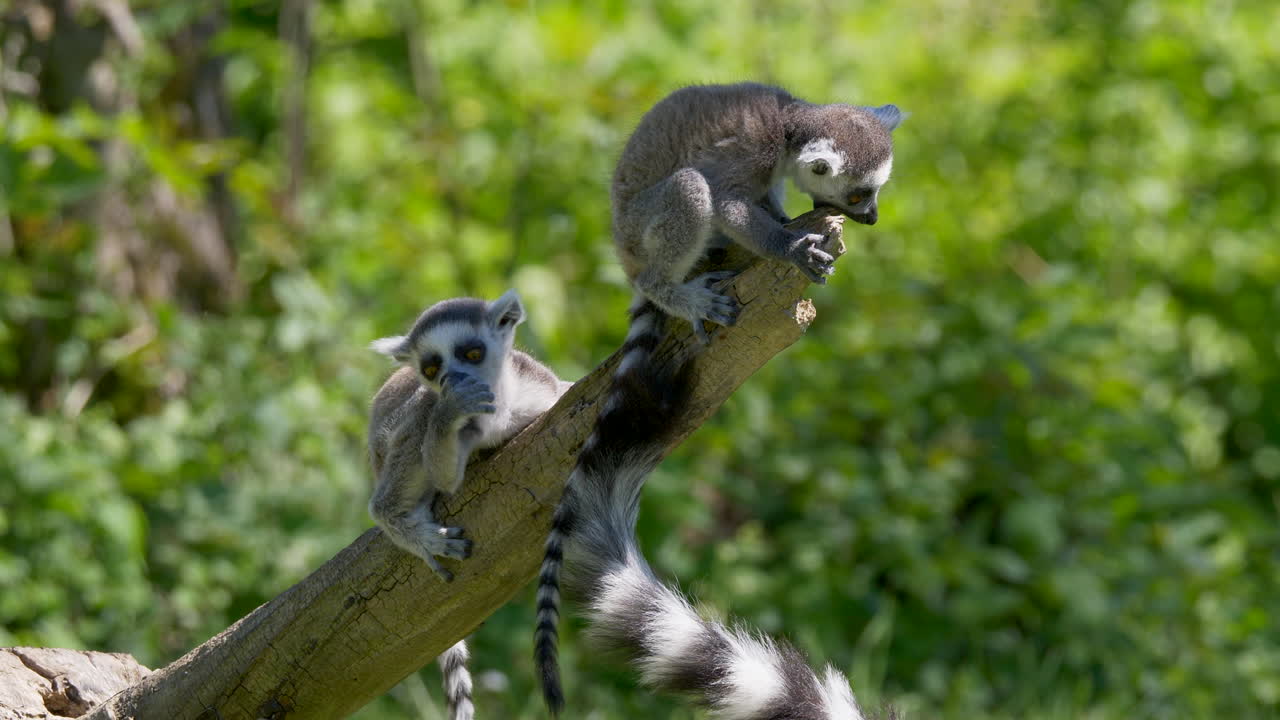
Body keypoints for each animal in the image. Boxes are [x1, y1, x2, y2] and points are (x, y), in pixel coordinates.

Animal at [368, 289, 571, 720]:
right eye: (431, 367)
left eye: (472, 353)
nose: (451, 381)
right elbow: (445, 471)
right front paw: (450, 411)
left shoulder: (537, 386)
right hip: (390, 439)